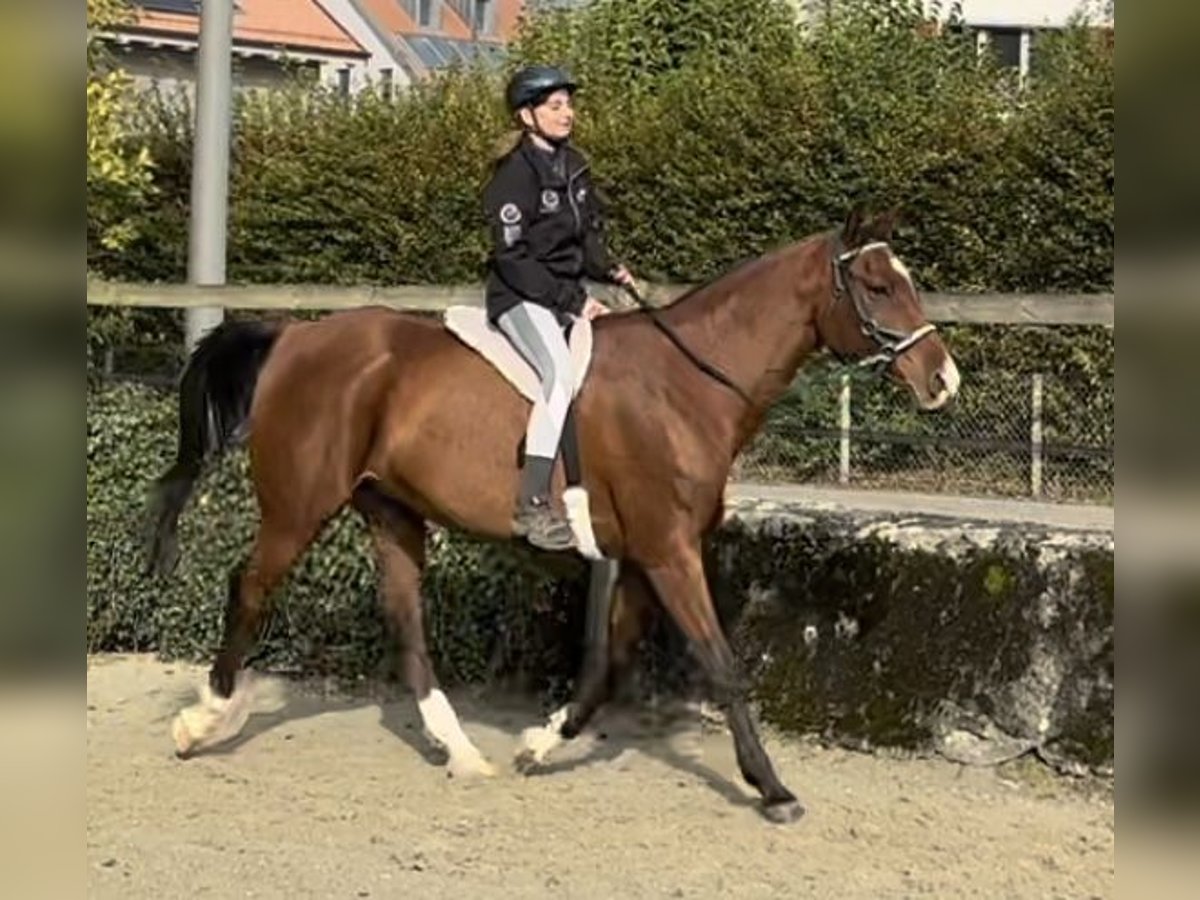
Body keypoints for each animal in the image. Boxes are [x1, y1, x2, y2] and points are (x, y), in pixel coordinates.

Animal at [147, 210, 955, 825]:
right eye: (878, 285)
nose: (942, 380)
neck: (686, 384)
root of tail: (295, 334)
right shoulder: (670, 552)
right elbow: (723, 666)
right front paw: (774, 789)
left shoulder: (645, 556)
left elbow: (608, 667)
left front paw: (540, 744)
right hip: (299, 506)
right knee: (250, 588)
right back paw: (202, 721)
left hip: (393, 512)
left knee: (406, 623)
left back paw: (463, 754)